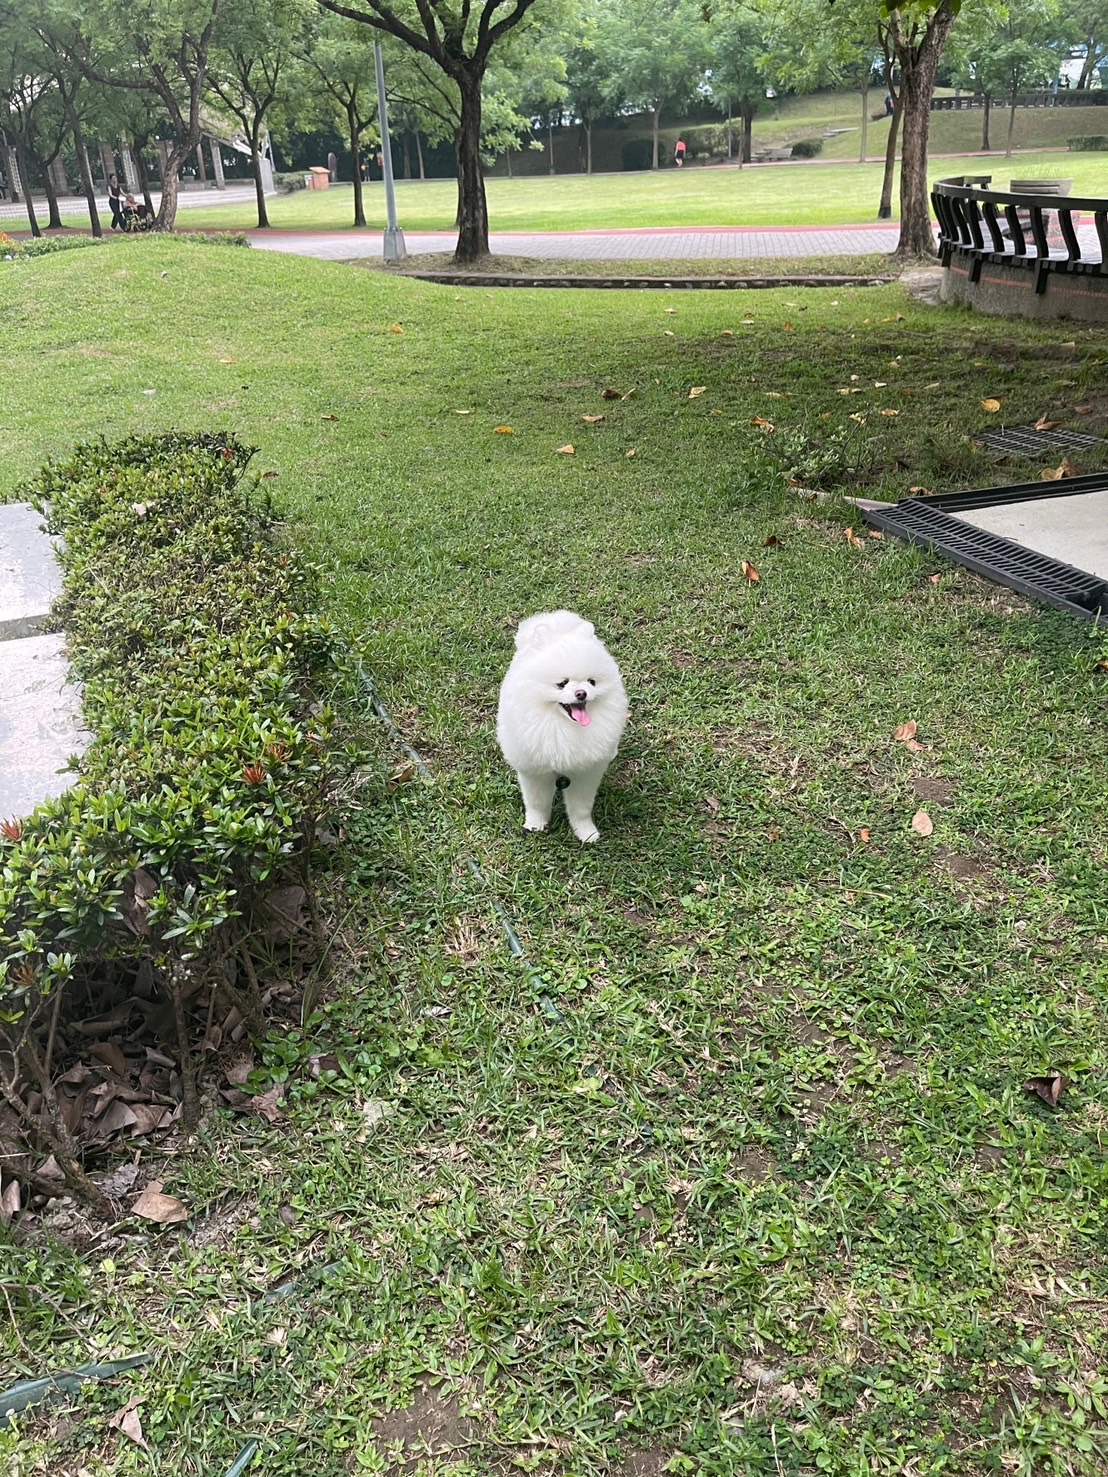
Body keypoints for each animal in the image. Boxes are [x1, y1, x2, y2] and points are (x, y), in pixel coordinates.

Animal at [499, 608, 629, 844]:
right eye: (562, 684)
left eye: (592, 682)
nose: (581, 693)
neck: (562, 726)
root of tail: (558, 620)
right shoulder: (535, 771)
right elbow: (537, 802)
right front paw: (536, 825)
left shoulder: (585, 772)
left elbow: (580, 808)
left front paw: (586, 832)